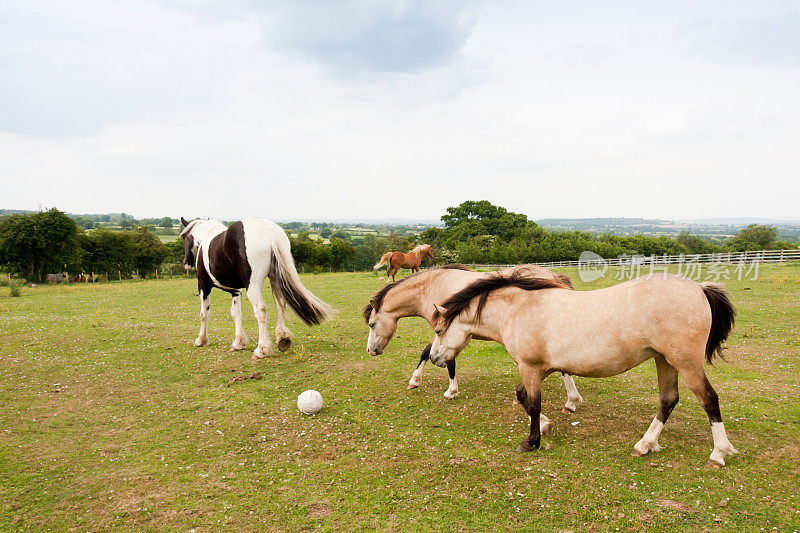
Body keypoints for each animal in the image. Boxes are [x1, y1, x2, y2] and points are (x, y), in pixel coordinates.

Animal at [180, 218, 334, 360]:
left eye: (184, 237)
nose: (186, 264)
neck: (206, 237)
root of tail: (270, 233)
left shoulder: (204, 286)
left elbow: (204, 313)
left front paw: (201, 340)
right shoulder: (235, 290)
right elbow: (236, 313)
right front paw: (239, 342)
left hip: (253, 285)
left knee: (261, 310)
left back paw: (262, 349)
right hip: (276, 278)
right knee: (281, 304)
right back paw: (282, 336)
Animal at [366, 266, 584, 424]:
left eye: (371, 324)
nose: (370, 351)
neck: (430, 287)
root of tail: (555, 277)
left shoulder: (446, 331)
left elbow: (436, 356)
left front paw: (447, 390)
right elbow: (431, 354)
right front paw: (417, 381)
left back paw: (570, 400)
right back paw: (570, 401)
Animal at [432, 270, 736, 466]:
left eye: (437, 330)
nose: (434, 357)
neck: (519, 309)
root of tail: (699, 288)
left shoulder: (530, 368)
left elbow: (533, 403)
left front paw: (531, 441)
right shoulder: (544, 368)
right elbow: (524, 397)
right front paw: (546, 426)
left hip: (686, 363)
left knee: (709, 399)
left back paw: (719, 453)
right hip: (665, 361)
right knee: (668, 400)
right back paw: (645, 445)